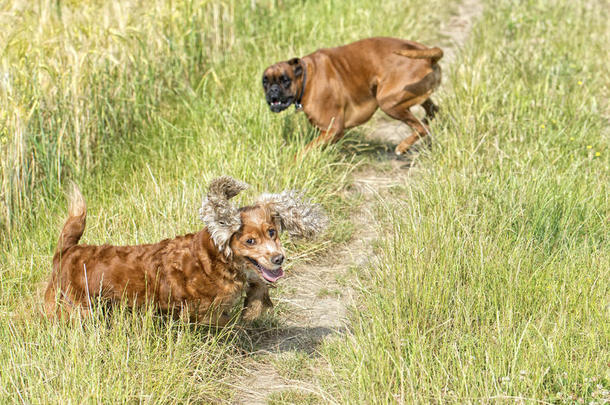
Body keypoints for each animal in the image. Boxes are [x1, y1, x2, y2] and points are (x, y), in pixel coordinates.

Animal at [44, 177, 326, 326]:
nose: (279, 258)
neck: (212, 258)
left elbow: (258, 284)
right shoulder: (203, 311)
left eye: (272, 232)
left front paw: (253, 309)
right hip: (71, 307)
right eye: (249, 241)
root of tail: (67, 251)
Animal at [262, 36, 442, 155]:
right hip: (410, 96)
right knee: (432, 111)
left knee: (422, 127)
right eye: (265, 82)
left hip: (388, 103)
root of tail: (427, 55)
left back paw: (403, 146)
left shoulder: (333, 129)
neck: (307, 76)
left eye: (285, 80)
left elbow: (304, 151)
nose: (273, 90)